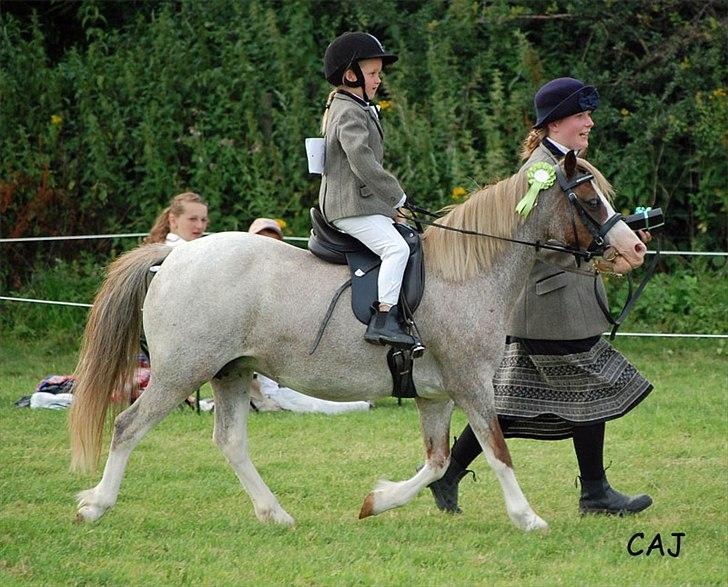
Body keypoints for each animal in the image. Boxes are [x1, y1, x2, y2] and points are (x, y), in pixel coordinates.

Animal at [68, 153, 644, 532]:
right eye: (588, 197)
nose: (636, 247)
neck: (465, 275)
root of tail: (177, 255)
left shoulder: (435, 395)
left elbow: (437, 461)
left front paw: (377, 501)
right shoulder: (472, 386)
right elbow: (499, 449)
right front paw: (527, 518)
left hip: (232, 371)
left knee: (230, 442)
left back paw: (274, 514)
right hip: (180, 371)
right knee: (127, 426)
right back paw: (96, 505)